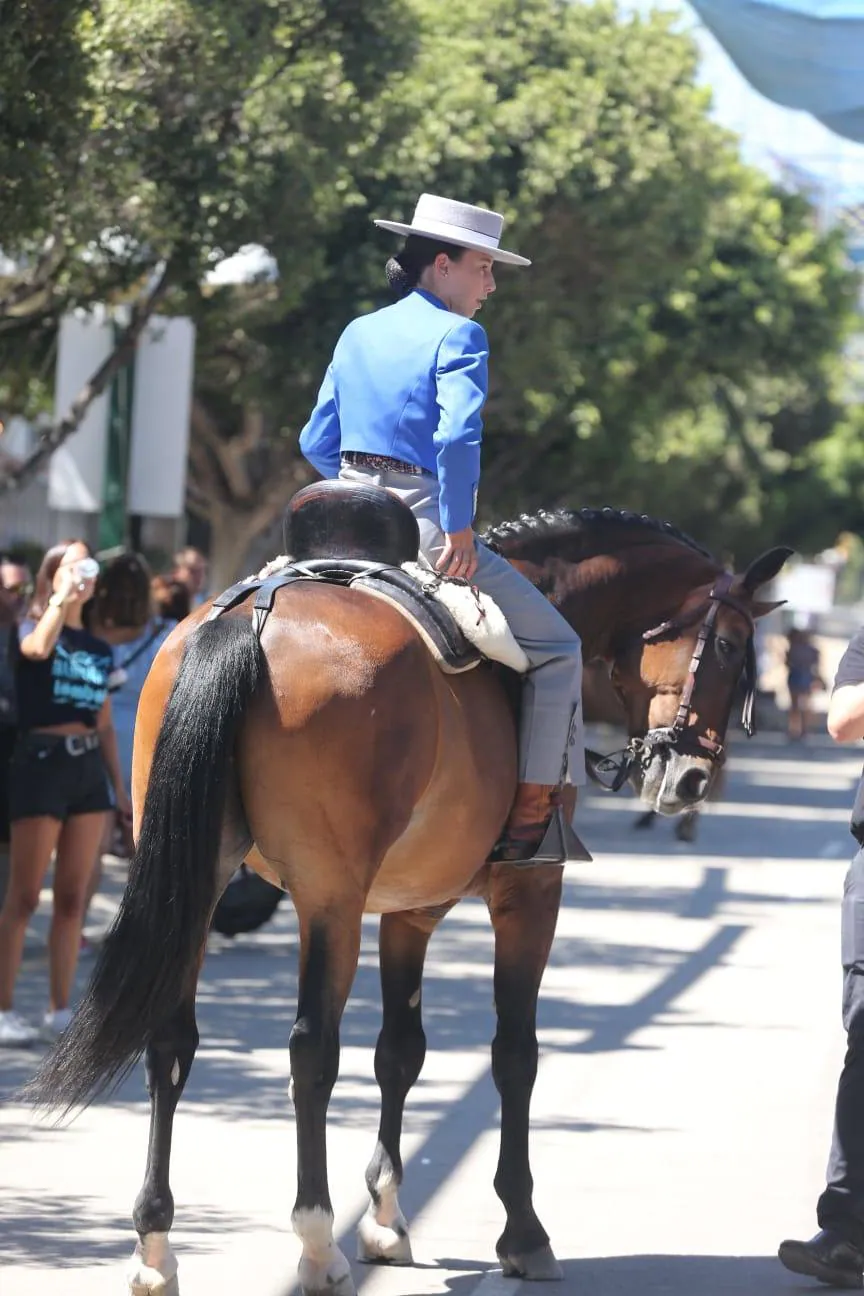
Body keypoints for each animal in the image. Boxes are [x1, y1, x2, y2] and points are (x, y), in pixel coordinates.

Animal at [23, 497, 792, 1296]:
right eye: (730, 644)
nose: (693, 780)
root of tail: (257, 615)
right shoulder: (529, 891)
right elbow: (514, 1054)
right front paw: (522, 1230)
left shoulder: (408, 910)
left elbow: (399, 1050)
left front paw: (387, 1217)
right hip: (327, 899)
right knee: (311, 1050)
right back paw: (316, 1243)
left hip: (198, 888)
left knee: (172, 1043)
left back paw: (155, 1246)